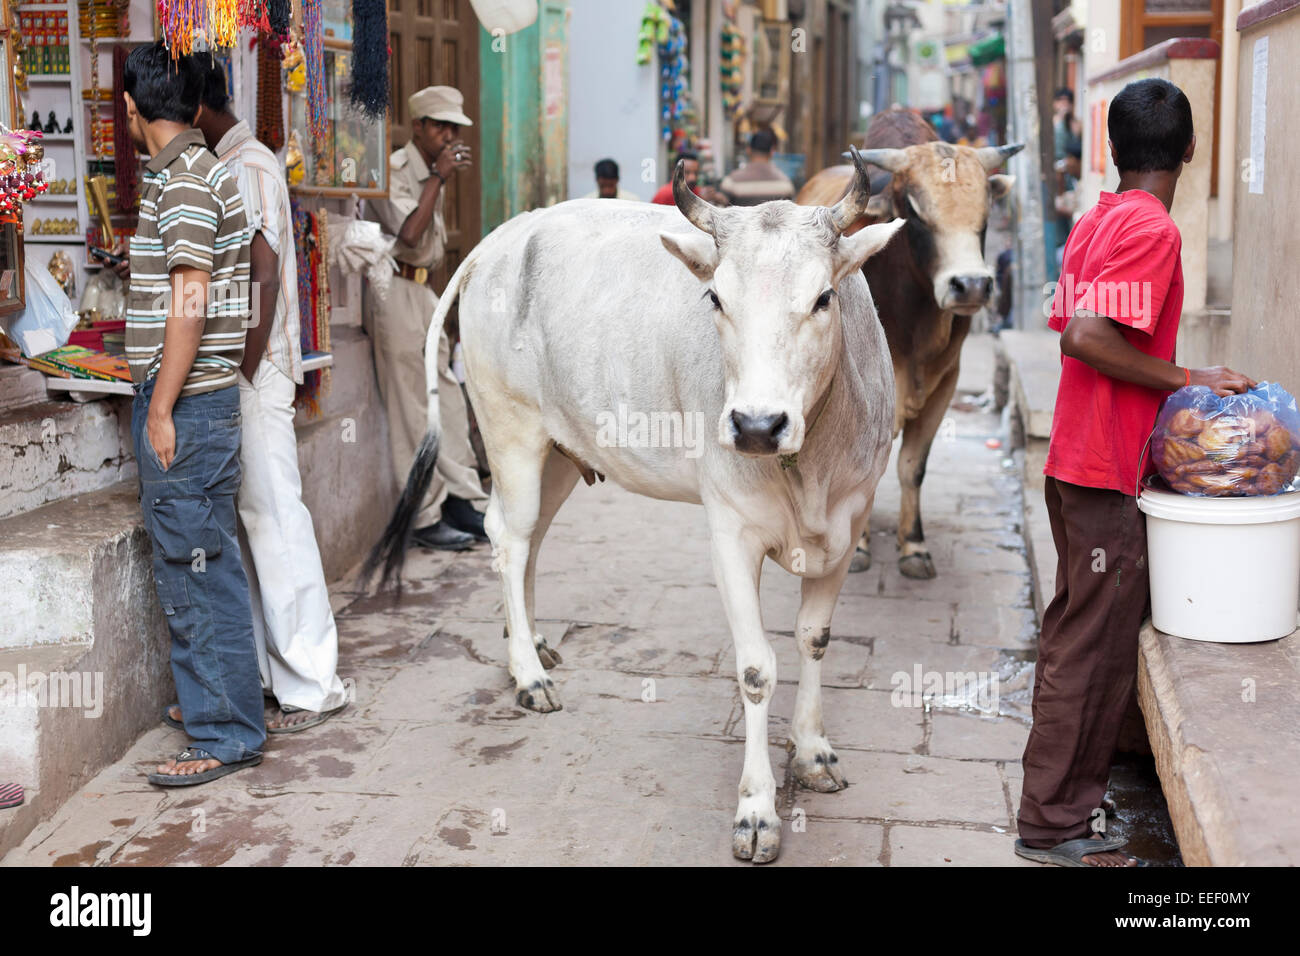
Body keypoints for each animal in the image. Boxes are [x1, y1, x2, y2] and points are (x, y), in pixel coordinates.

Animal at [369, 157, 904, 868]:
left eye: (823, 298)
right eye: (716, 300)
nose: (757, 426)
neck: (808, 463)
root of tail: (501, 238)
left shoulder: (847, 527)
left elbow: (814, 640)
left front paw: (813, 752)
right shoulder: (730, 532)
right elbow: (757, 668)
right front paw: (757, 810)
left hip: (561, 453)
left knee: (527, 538)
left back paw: (527, 641)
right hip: (512, 433)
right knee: (507, 537)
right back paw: (527, 675)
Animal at [790, 108, 1024, 580]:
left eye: (986, 209)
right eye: (915, 212)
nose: (971, 285)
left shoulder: (944, 386)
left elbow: (912, 468)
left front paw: (913, 546)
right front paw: (857, 548)